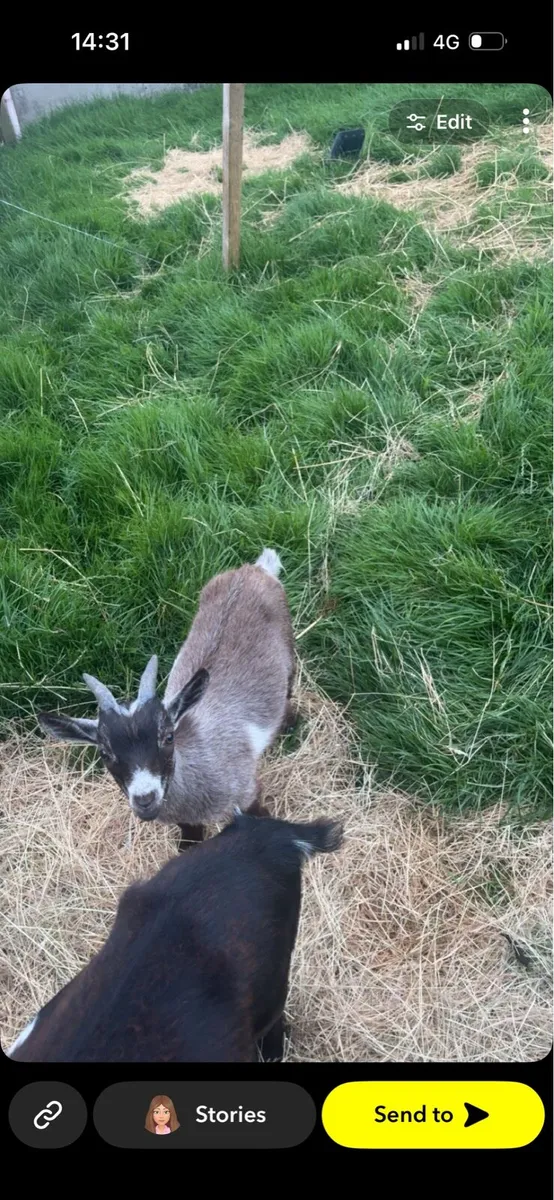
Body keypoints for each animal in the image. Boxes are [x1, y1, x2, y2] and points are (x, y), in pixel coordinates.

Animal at [38, 549, 296, 850]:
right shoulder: (187, 823)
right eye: (104, 752)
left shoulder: (247, 792)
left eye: (168, 737)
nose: (145, 799)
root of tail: (254, 570)